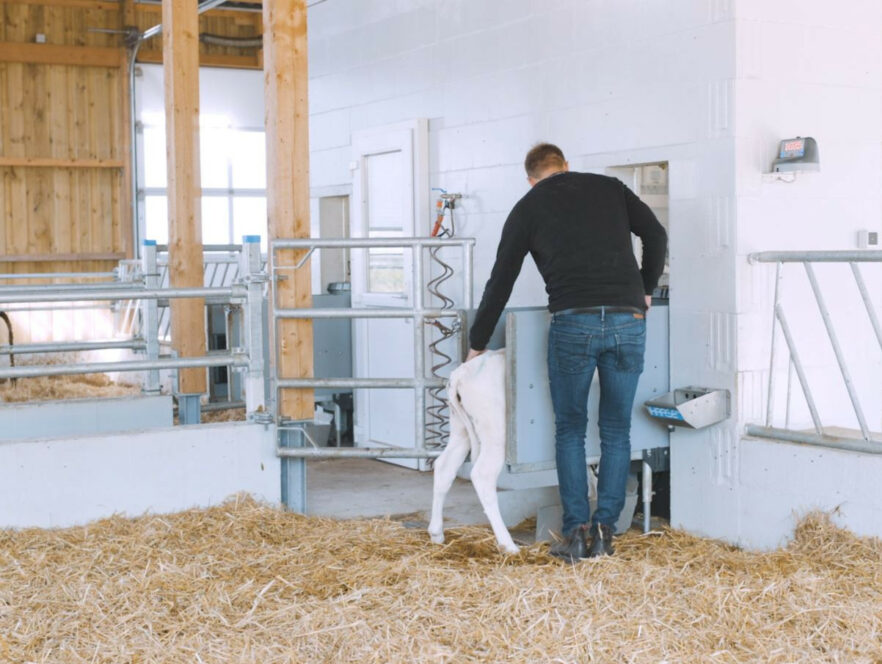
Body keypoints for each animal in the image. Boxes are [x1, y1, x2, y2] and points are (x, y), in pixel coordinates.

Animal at [426, 350, 516, 552]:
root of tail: (461, 373)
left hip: (460, 428)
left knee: (444, 466)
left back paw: (436, 533)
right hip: (496, 433)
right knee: (482, 475)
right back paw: (508, 545)